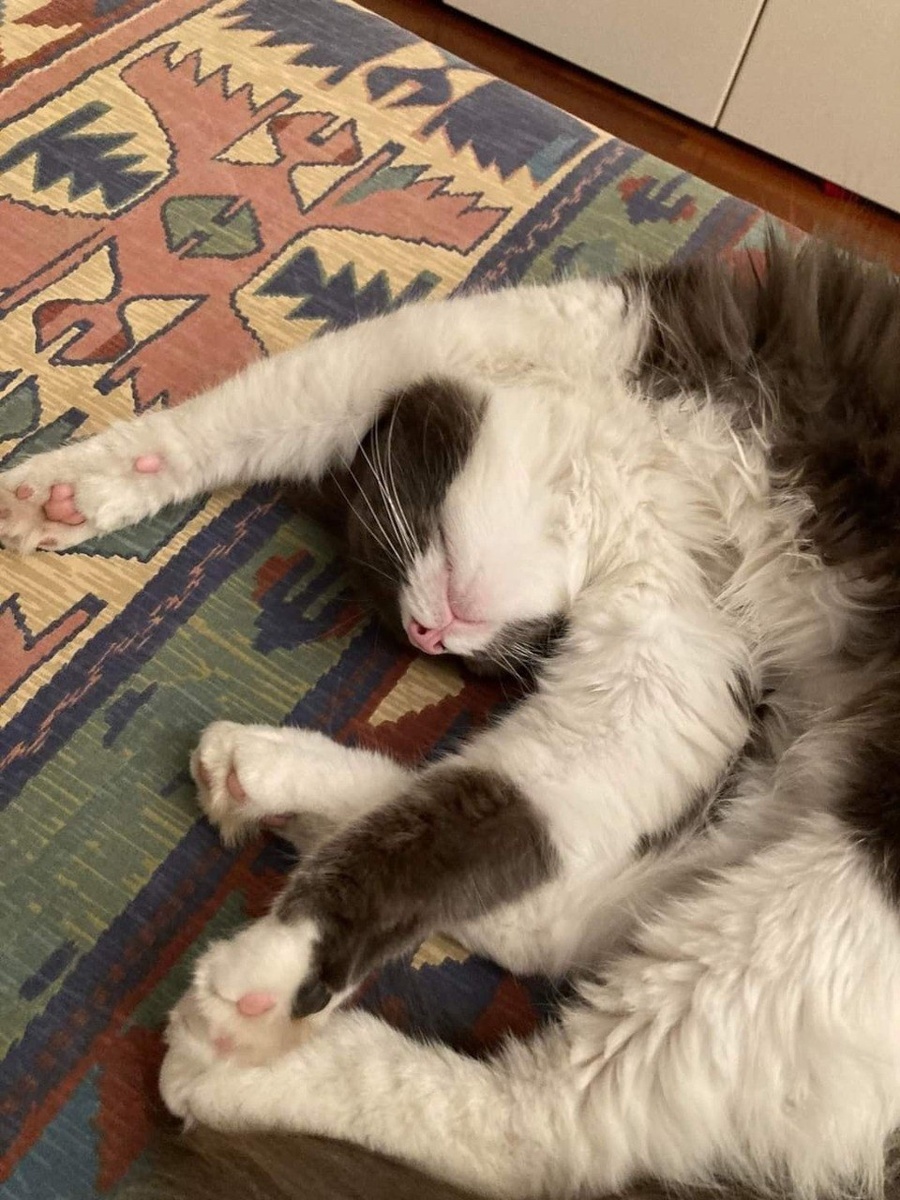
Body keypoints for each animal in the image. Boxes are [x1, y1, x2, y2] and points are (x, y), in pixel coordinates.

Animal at [2, 233, 900, 1200]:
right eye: (430, 645)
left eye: (401, 548)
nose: (426, 634)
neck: (627, 471)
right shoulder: (673, 642)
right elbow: (499, 813)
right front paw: (69, 488)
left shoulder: (559, 335)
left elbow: (283, 391)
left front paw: (287, 958)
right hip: (782, 801)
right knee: (562, 934)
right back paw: (268, 779)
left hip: (841, 878)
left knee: (548, 1130)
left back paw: (245, 1055)